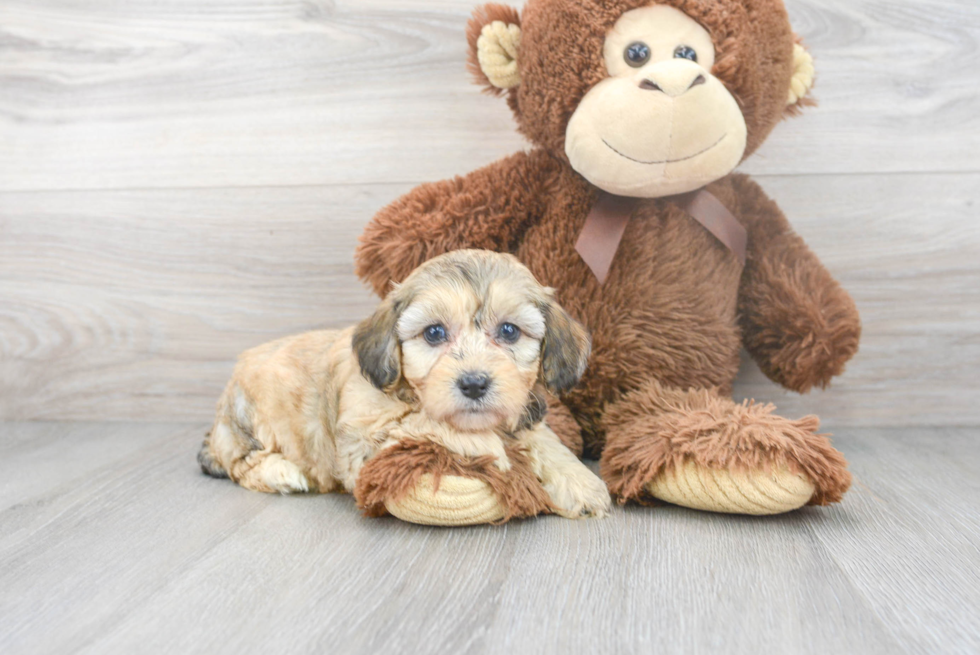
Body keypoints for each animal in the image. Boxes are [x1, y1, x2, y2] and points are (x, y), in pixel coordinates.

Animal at [197, 249, 612, 520]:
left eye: (509, 331)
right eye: (434, 333)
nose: (474, 384)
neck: (408, 390)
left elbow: (544, 439)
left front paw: (580, 481)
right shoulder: (363, 443)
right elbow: (428, 423)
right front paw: (491, 447)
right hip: (247, 420)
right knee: (242, 464)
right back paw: (282, 473)